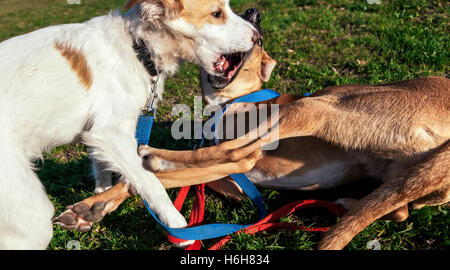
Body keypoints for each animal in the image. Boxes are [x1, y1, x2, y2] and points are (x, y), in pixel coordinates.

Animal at [0, 0, 258, 249]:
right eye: (216, 13)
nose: (257, 33)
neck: (138, 47)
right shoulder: (110, 134)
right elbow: (150, 181)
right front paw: (178, 228)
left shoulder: (96, 132)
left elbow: (104, 170)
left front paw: (98, 200)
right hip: (32, 216)